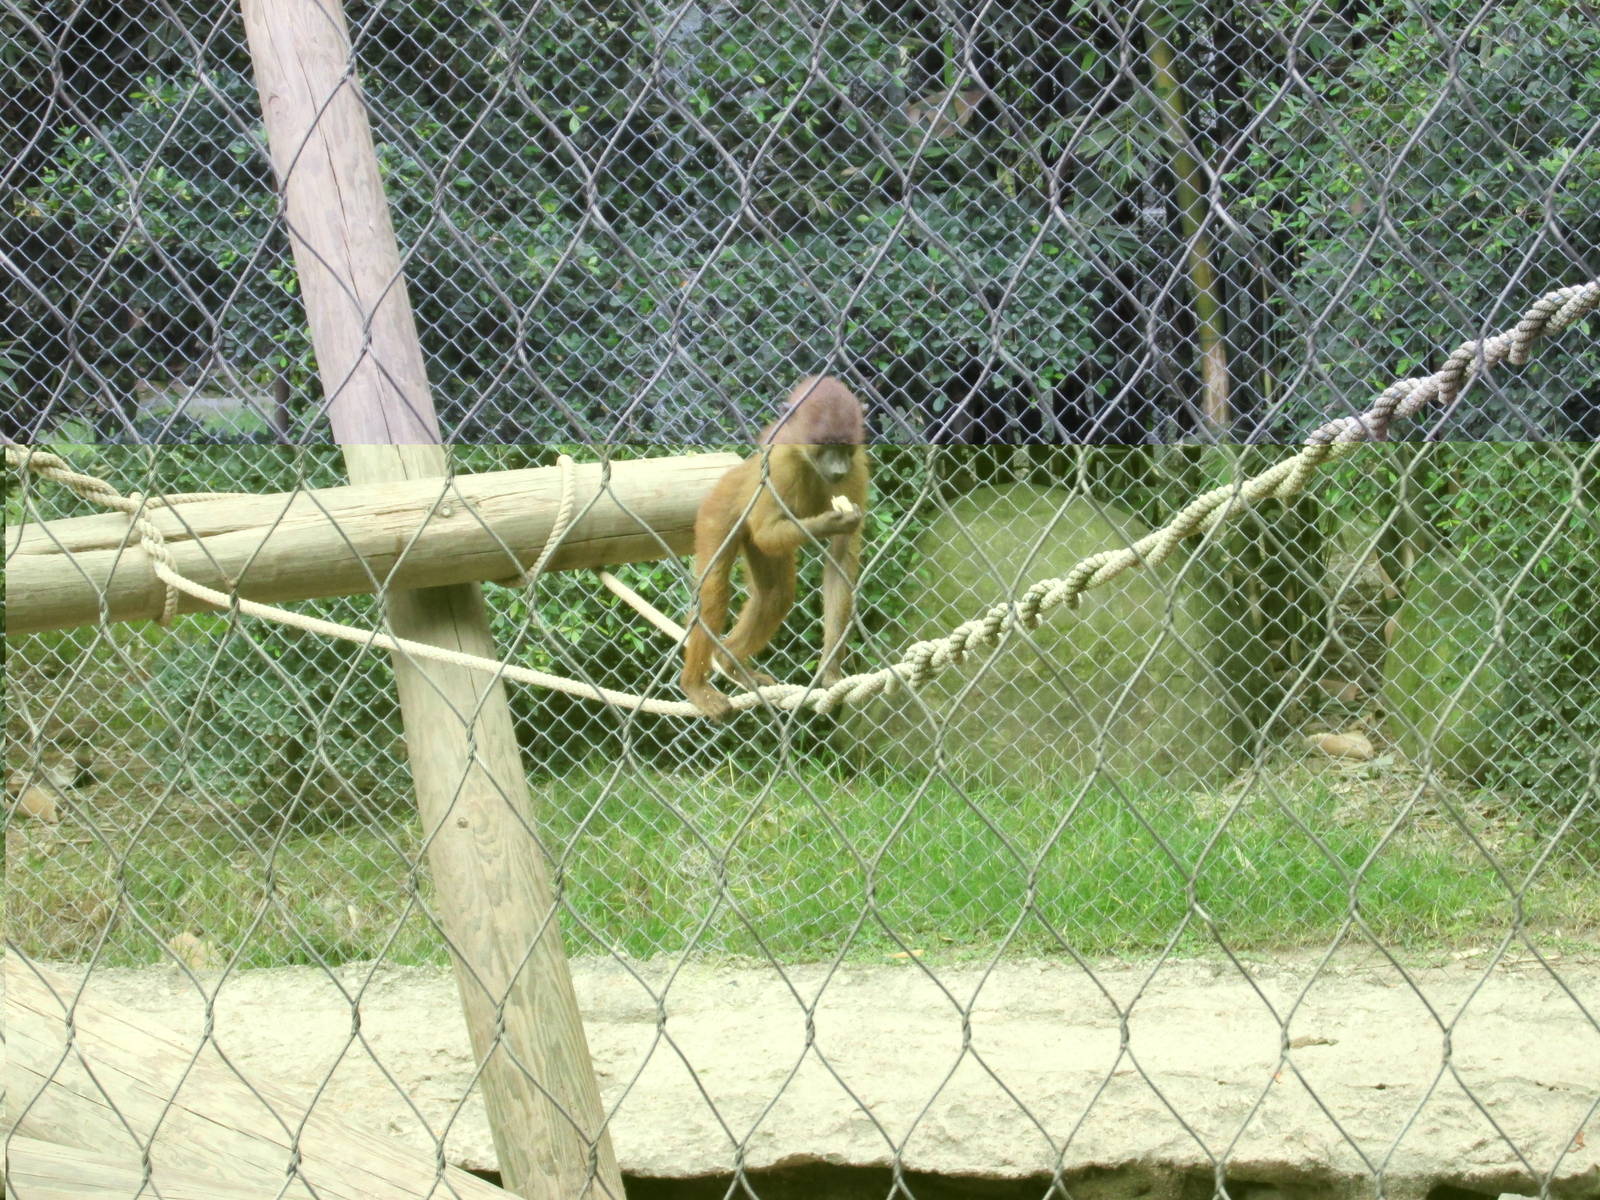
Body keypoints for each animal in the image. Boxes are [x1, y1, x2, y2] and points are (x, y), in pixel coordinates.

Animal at [681, 376, 869, 720]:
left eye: (844, 448)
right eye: (824, 446)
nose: (838, 469)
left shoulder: (857, 465)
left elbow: (840, 560)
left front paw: (829, 669)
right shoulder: (779, 464)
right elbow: (766, 532)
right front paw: (829, 522)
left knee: (775, 595)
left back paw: (732, 663)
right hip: (718, 509)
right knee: (714, 592)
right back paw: (695, 685)